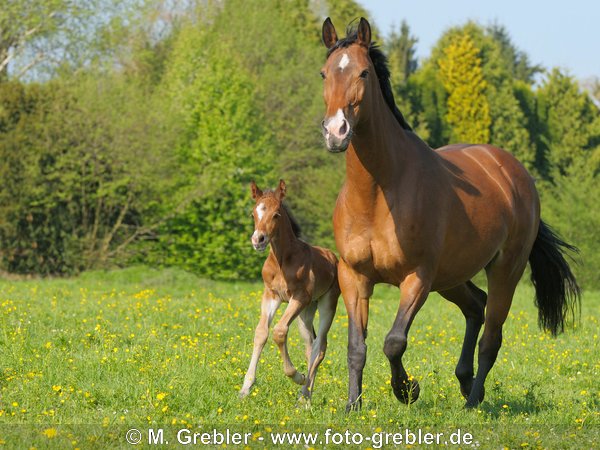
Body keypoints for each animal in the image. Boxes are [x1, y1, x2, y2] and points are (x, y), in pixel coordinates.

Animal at [240, 179, 342, 400]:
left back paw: (305, 394)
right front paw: (245, 387)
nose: (258, 240)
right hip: (306, 312)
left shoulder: (299, 297)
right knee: (310, 345)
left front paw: (298, 376)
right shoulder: (271, 295)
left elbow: (279, 331)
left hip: (326, 304)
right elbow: (261, 332)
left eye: (276, 214)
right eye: (253, 214)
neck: (282, 261)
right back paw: (305, 396)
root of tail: (334, 258)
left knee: (320, 346)